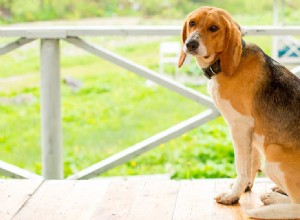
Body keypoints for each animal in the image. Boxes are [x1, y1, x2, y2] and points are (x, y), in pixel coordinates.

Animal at [178, 6, 300, 219]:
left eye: (214, 28)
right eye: (192, 23)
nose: (190, 44)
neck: (222, 65)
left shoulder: (240, 125)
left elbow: (241, 167)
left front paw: (233, 195)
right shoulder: (251, 131)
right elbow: (251, 163)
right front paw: (245, 188)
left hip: (273, 155)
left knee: (297, 206)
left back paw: (271, 204)